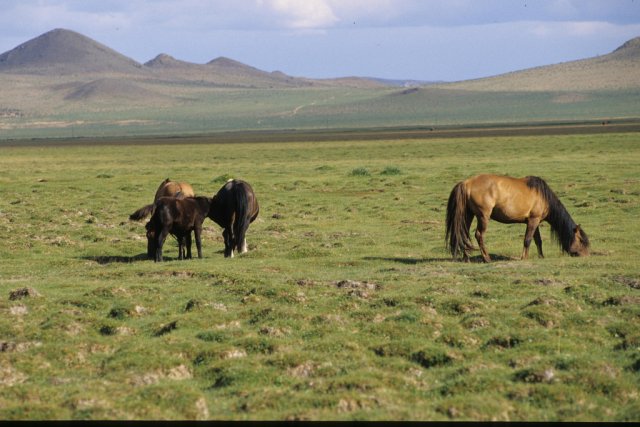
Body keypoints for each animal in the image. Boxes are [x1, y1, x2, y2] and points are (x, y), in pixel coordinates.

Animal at [444, 175, 592, 262]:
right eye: (581, 240)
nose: (586, 255)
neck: (544, 197)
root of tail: (466, 183)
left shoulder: (535, 221)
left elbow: (538, 241)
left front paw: (541, 256)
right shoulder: (533, 220)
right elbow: (527, 240)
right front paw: (524, 257)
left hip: (468, 215)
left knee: (463, 234)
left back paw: (466, 258)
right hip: (483, 216)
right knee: (479, 234)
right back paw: (486, 258)